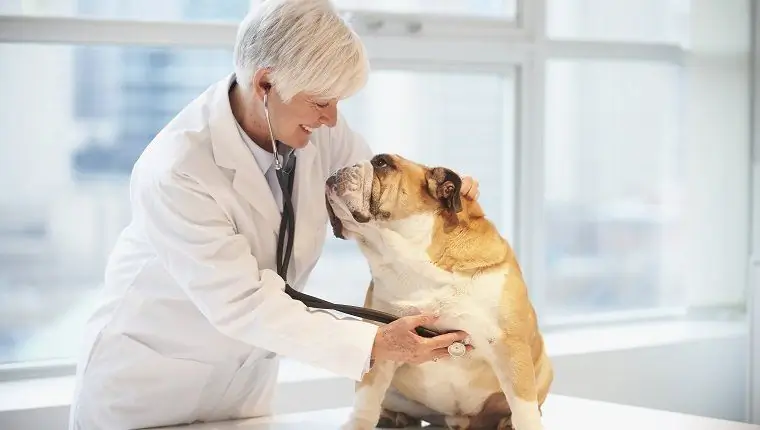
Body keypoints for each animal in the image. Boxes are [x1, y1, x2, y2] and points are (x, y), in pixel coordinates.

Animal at [322, 153, 552, 428]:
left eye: (382, 163)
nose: (336, 171)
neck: (411, 259)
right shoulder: (384, 344)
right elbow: (366, 400)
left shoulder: (509, 347)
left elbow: (523, 407)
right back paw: (394, 418)